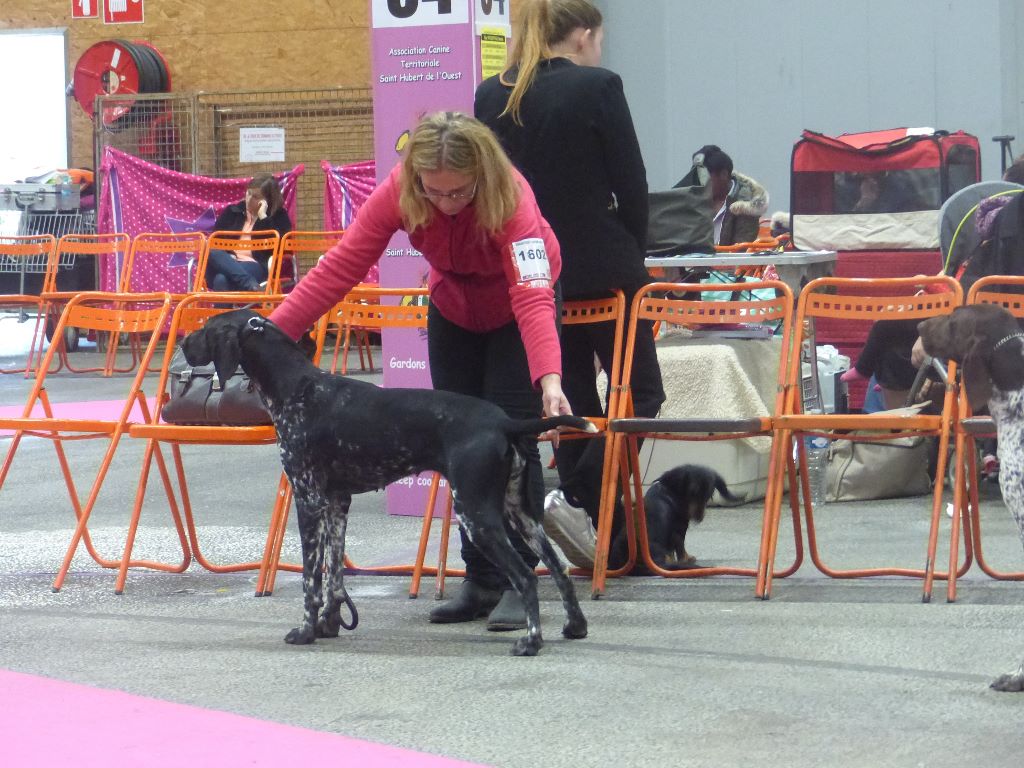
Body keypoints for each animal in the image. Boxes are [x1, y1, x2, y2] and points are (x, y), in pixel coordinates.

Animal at [181, 309, 598, 659]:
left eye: (205, 328)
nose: (183, 342)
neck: (296, 388)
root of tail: (505, 422)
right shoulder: (337, 504)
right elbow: (334, 576)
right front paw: (329, 624)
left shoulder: (308, 500)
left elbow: (311, 580)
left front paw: (306, 631)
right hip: (521, 515)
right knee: (558, 571)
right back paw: (575, 627)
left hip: (478, 515)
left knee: (526, 577)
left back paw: (531, 642)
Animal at [606, 462, 745, 573]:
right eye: (692, 492)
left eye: (709, 495)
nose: (699, 517)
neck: (669, 491)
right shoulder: (679, 531)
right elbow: (681, 549)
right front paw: (686, 560)